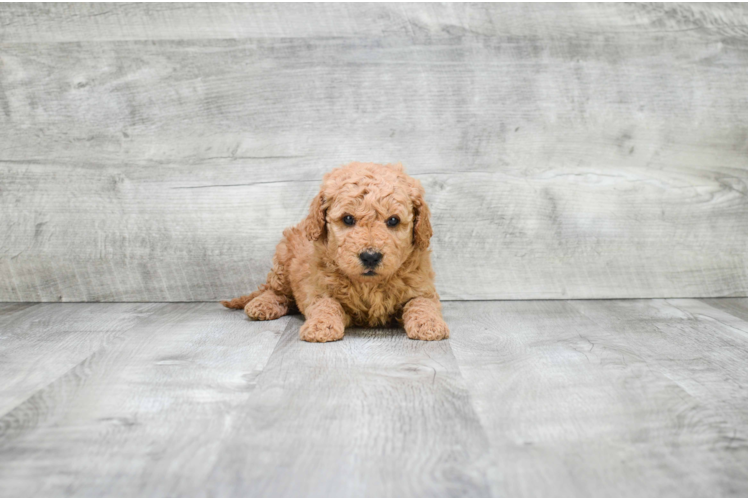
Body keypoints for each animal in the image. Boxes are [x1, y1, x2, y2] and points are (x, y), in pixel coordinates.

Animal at [219, 162, 448, 342]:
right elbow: (326, 304)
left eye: (393, 220)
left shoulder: (422, 287)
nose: (370, 257)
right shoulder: (318, 287)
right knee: (276, 291)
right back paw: (262, 304)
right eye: (348, 219)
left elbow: (422, 303)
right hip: (283, 262)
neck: (369, 285)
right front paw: (321, 326)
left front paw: (429, 324)